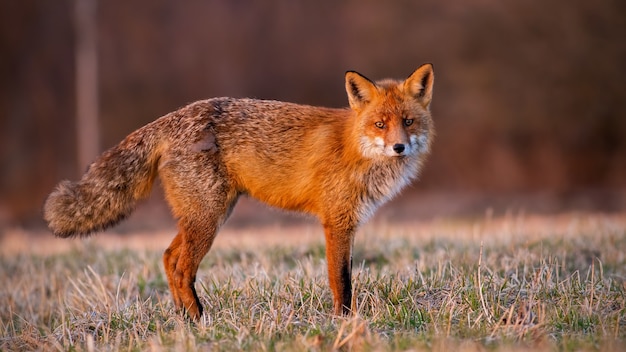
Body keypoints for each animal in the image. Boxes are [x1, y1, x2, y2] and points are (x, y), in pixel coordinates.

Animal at [44, 63, 434, 320]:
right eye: (379, 124)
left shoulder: (349, 223)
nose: (399, 147)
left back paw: (183, 319)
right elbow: (341, 281)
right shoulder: (336, 222)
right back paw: (200, 322)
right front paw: (345, 323)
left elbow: (346, 277)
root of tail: (173, 115)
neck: (356, 148)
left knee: (168, 258)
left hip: (206, 216)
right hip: (208, 220)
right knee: (182, 267)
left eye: (408, 122)